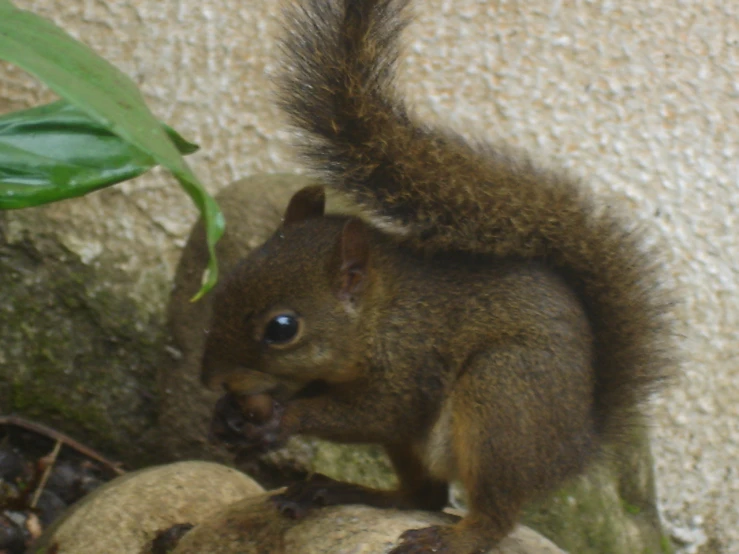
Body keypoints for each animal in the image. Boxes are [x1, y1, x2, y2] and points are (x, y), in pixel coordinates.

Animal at [199, 1, 672, 552]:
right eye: (225, 283)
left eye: (282, 328)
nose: (210, 380)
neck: (378, 315)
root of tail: (577, 446)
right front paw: (228, 417)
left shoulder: (411, 359)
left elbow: (383, 411)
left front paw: (284, 419)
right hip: (429, 440)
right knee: (424, 494)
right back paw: (342, 491)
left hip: (502, 401)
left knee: (494, 512)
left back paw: (454, 536)